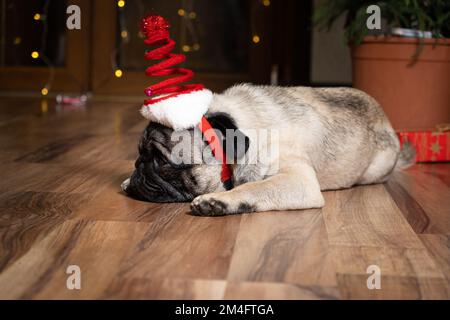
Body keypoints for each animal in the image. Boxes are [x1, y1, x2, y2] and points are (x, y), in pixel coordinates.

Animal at [120, 84, 414, 216]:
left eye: (162, 161)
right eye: (139, 155)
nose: (138, 168)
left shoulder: (299, 180)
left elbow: (255, 188)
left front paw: (218, 202)